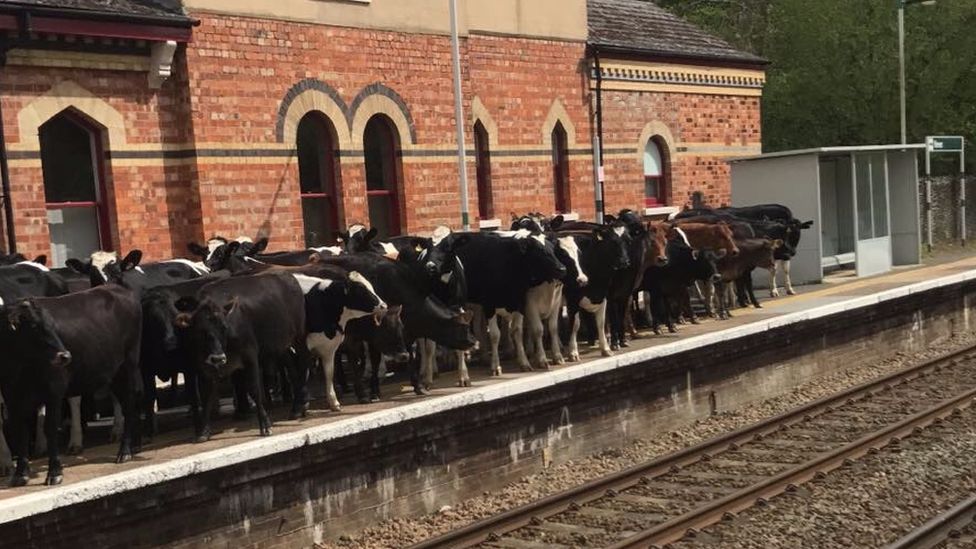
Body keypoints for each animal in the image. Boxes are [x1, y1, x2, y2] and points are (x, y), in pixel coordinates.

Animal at [0, 282, 144, 484]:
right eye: (34, 327)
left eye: (52, 325)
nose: (65, 356)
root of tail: (116, 286)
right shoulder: (12, 397)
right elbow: (21, 431)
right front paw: (20, 474)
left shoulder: (54, 391)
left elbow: (50, 428)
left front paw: (55, 472)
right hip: (112, 373)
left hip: (128, 366)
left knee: (129, 404)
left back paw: (124, 451)